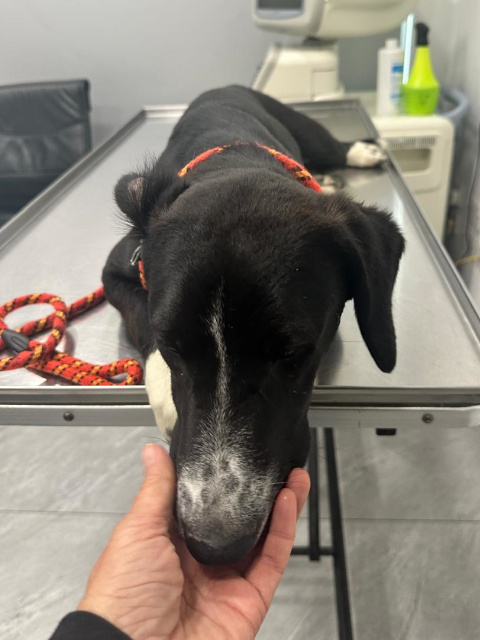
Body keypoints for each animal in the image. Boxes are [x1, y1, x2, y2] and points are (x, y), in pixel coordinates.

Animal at [103, 85, 405, 565]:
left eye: (295, 356)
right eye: (173, 347)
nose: (214, 548)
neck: (235, 164)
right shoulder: (116, 269)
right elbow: (140, 316)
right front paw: (165, 397)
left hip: (307, 129)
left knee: (334, 147)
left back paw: (362, 155)